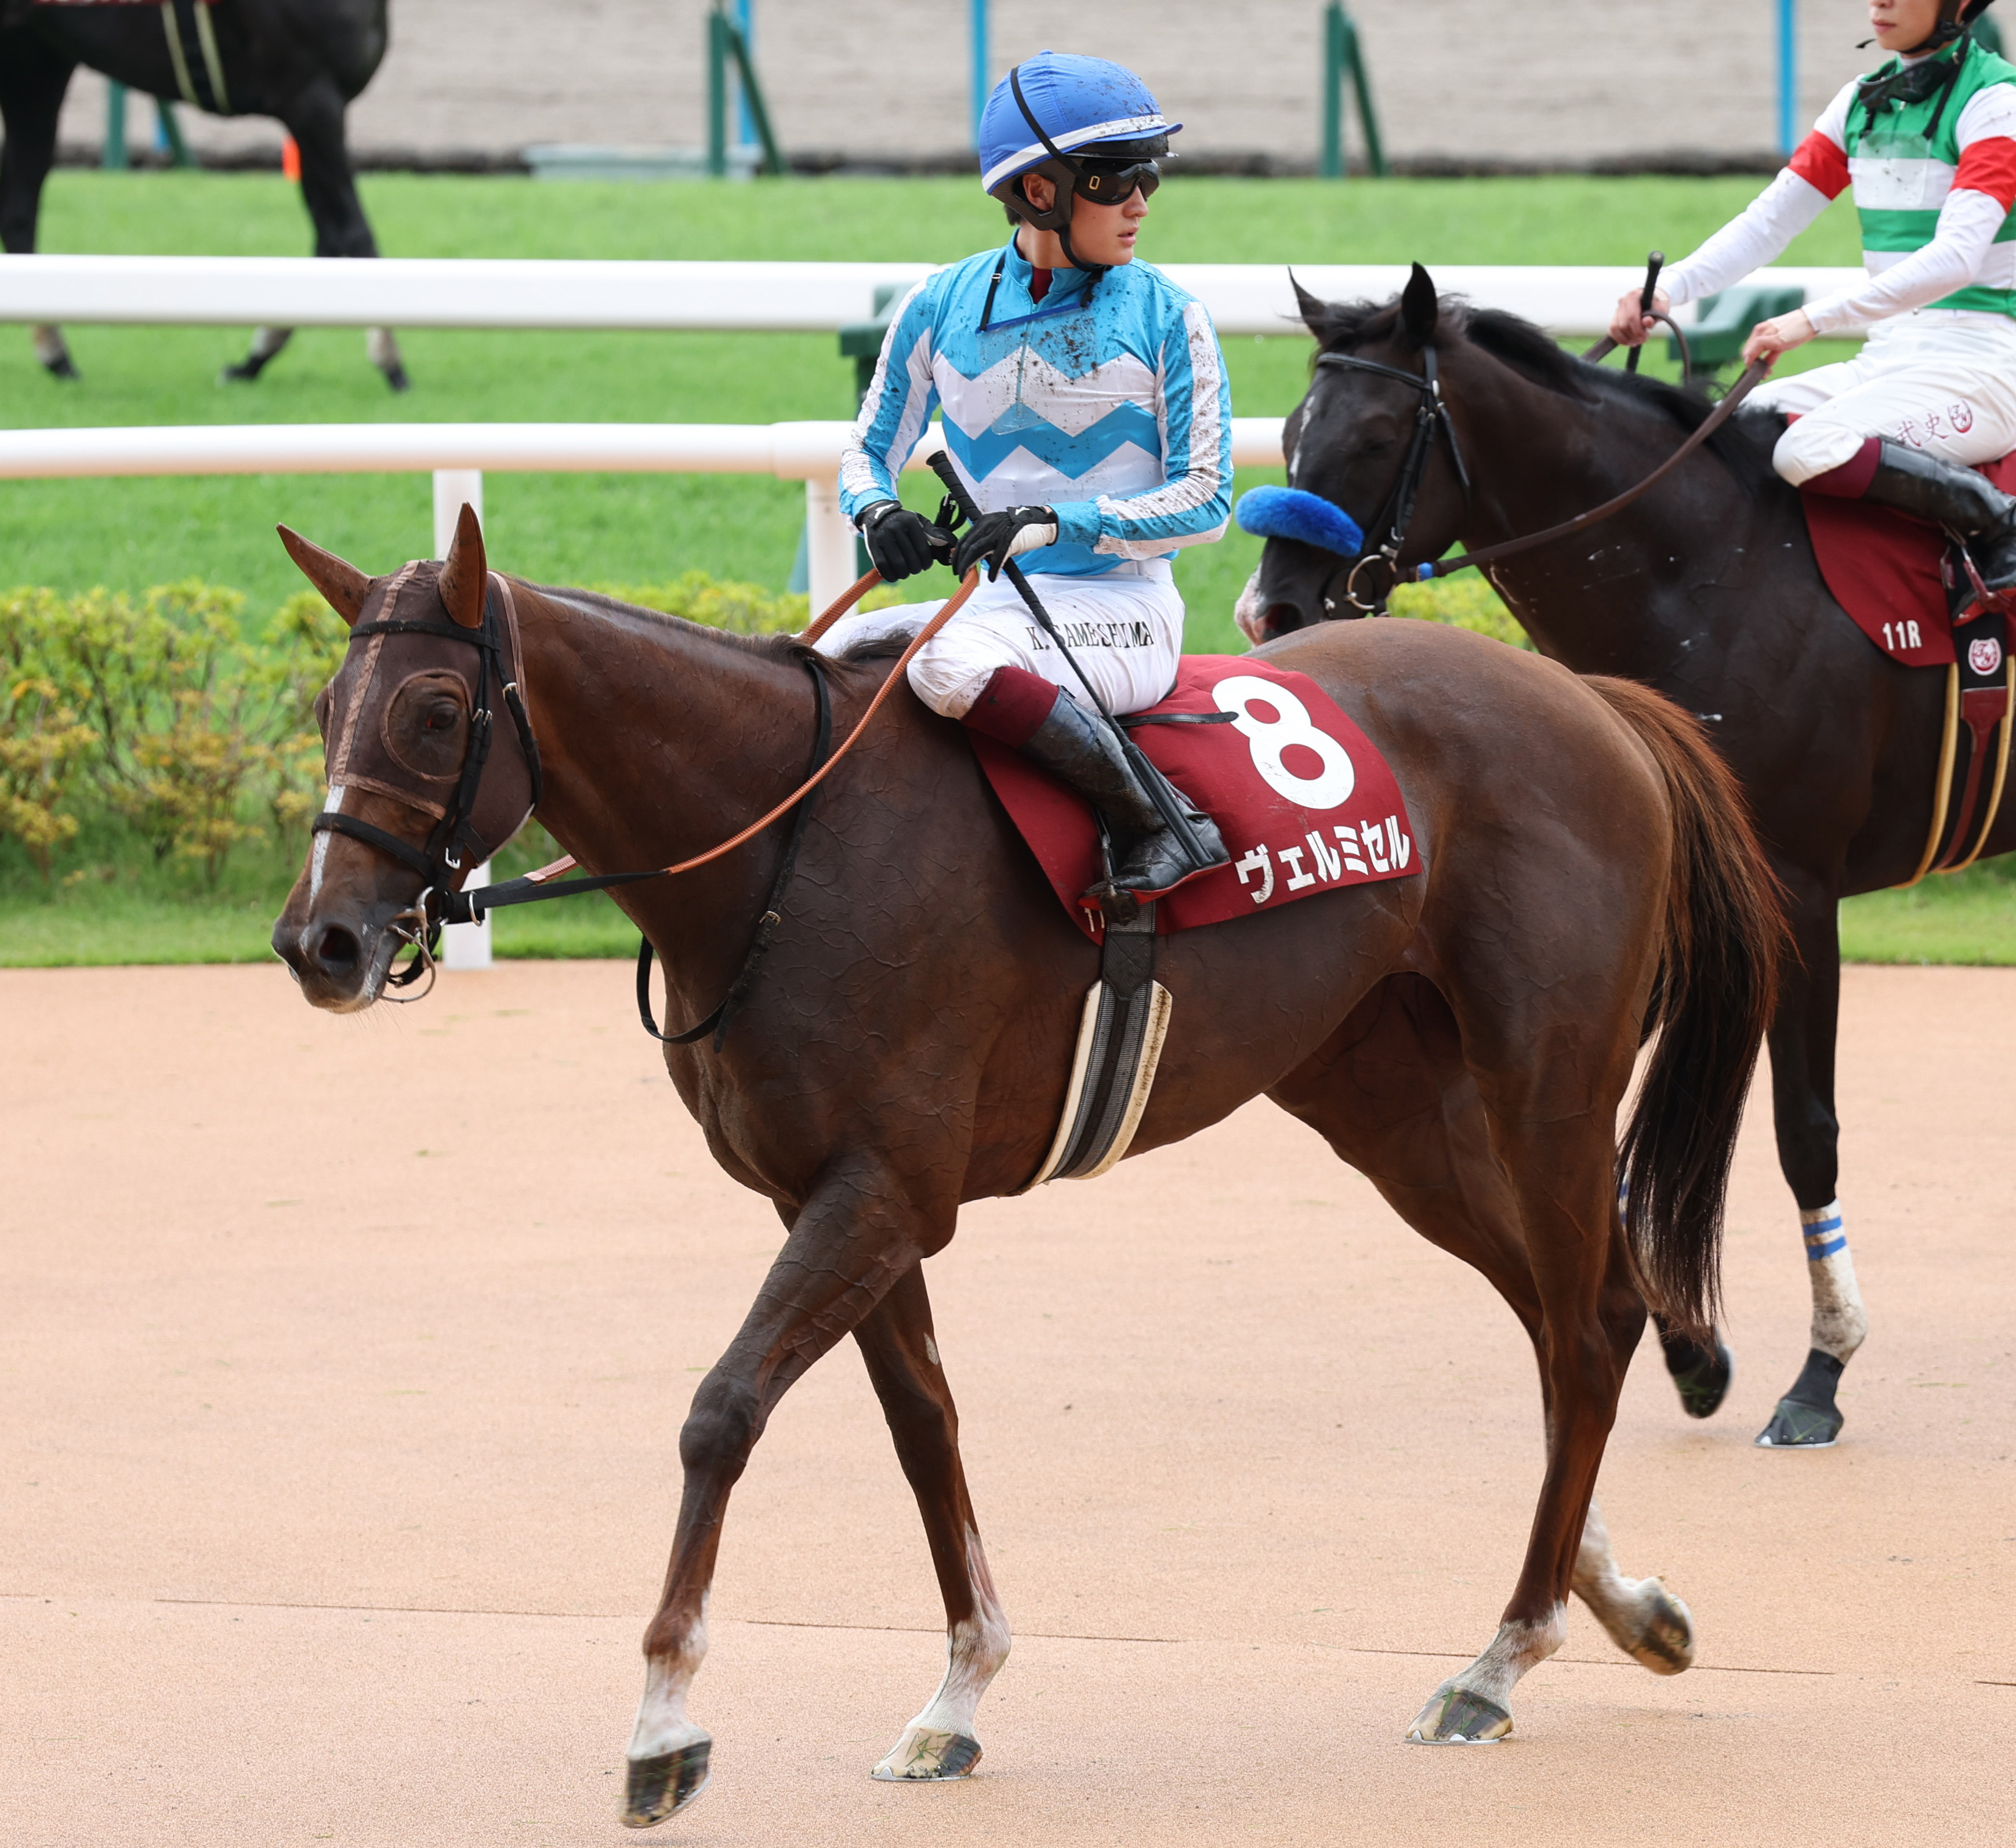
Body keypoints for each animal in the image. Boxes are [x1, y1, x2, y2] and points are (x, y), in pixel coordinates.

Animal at [0, 0, 406, 387]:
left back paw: (57, 357)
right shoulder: (310, 101)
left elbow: (328, 237)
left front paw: (251, 363)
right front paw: (391, 363)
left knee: (18, 208)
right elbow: (352, 232)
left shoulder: (315, 113)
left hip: (35, 65)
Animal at [269, 507, 1784, 1821]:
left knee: (1588, 1326)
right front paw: (958, 1693)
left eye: (436, 711)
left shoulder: (883, 1189)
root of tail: (1591, 698)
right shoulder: (836, 1197)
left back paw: (1501, 1655)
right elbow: (923, 1426)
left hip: (1546, 1088)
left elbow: (721, 1411)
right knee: (1560, 1318)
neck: (784, 846)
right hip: (1388, 1106)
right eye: (329, 707)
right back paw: (1610, 1597)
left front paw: (663, 1723)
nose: (319, 941)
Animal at [1239, 264, 1990, 1452]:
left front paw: (1820, 1368)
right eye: (1291, 430)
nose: (1270, 609)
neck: (1712, 573)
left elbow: (1804, 1130)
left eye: (1374, 435)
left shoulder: (1798, 889)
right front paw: (1691, 1349)